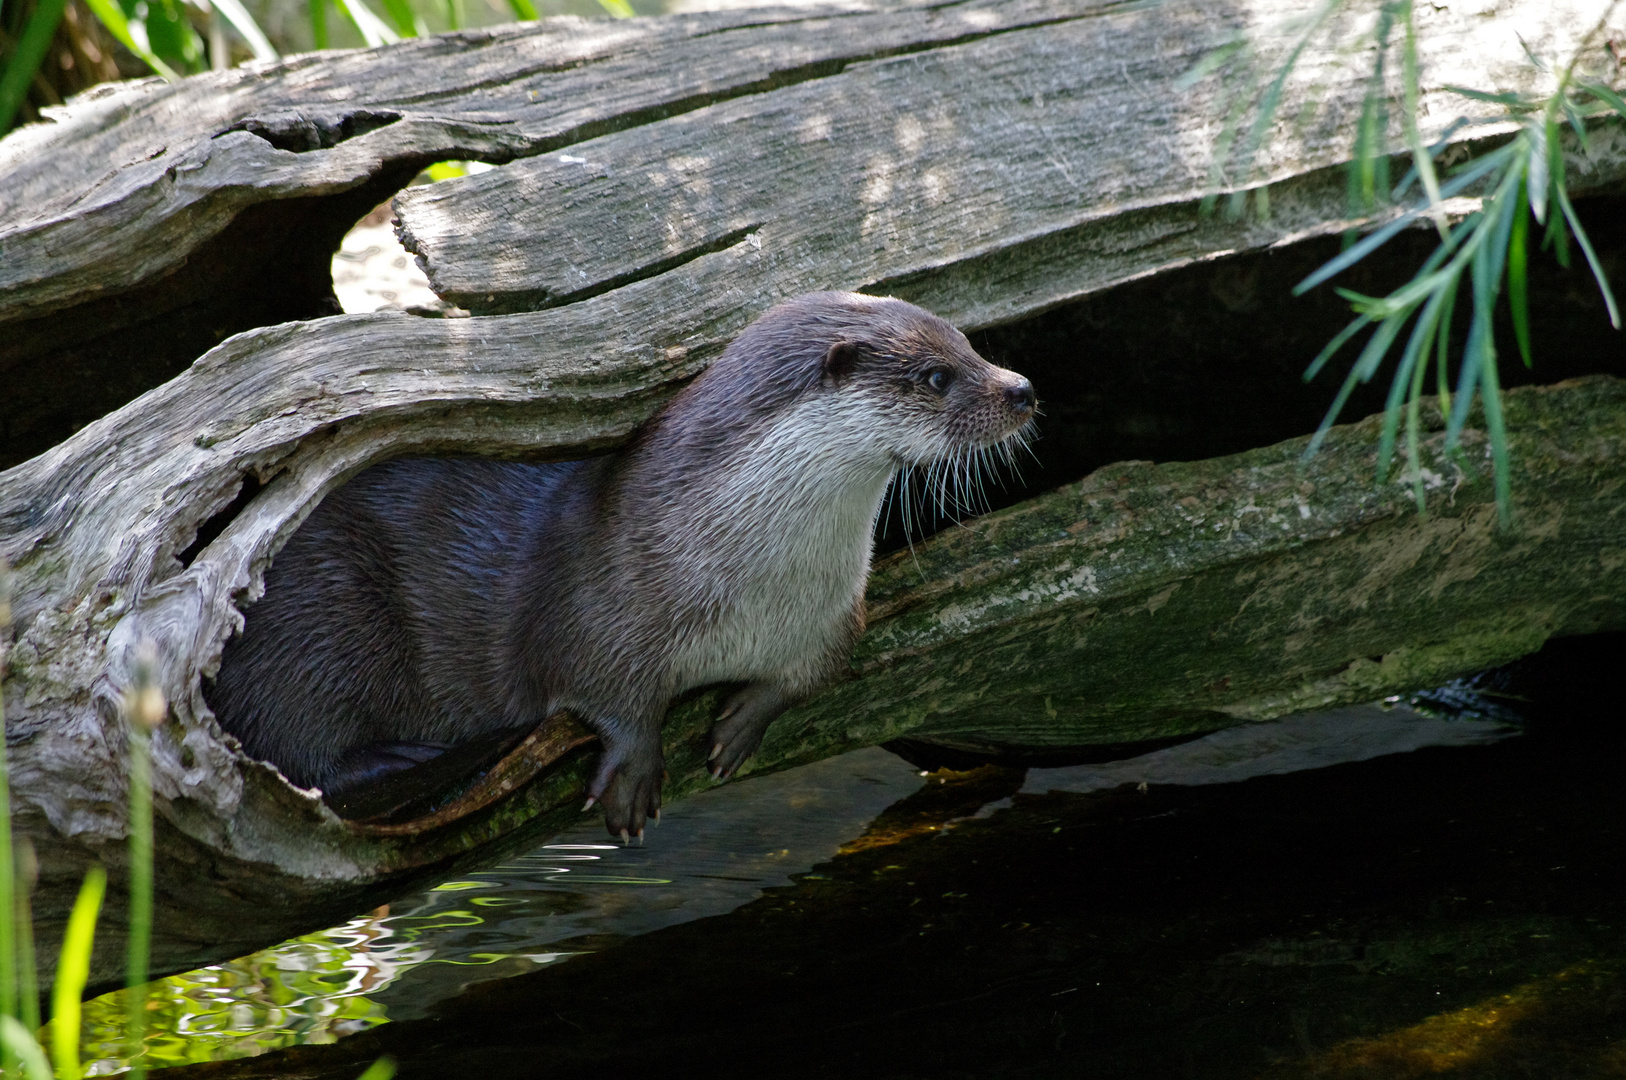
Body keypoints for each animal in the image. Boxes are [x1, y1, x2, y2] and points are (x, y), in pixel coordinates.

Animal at [209, 291, 1034, 839]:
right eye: (935, 377)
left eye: (970, 346)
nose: (1022, 388)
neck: (755, 588)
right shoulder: (601, 607)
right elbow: (605, 691)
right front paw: (635, 774)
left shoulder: (832, 621)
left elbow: (807, 678)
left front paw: (743, 720)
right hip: (317, 626)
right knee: (297, 747)